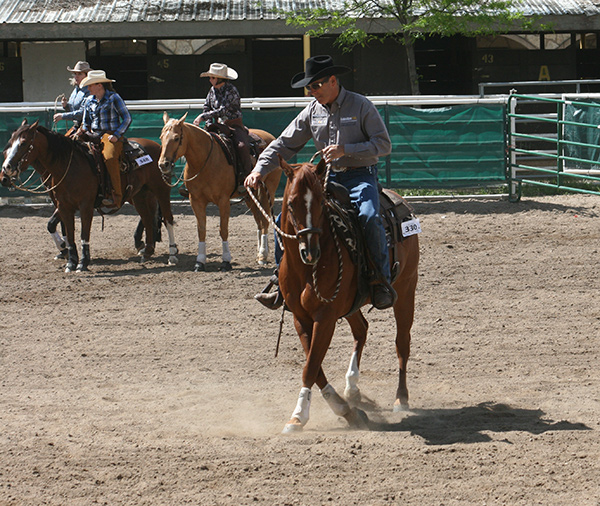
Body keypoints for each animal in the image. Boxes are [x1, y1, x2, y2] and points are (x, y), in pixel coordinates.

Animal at [0, 119, 178, 272]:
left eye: (23, 143)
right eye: (8, 145)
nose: (5, 173)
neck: (69, 166)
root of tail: (157, 147)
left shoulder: (85, 205)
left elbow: (81, 233)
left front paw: (80, 261)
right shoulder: (62, 205)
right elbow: (62, 228)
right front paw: (68, 256)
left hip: (161, 190)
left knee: (167, 218)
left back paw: (172, 254)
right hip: (139, 194)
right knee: (147, 218)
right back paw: (147, 250)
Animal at [158, 112, 282, 270]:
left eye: (176, 138)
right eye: (161, 137)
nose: (163, 164)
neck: (206, 160)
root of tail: (270, 137)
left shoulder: (223, 201)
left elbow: (223, 230)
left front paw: (226, 261)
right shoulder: (196, 200)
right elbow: (201, 230)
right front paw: (200, 261)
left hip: (269, 190)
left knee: (265, 220)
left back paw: (262, 255)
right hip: (250, 195)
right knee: (259, 221)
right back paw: (259, 253)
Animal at [276, 159, 420, 434]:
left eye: (320, 202)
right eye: (291, 204)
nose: (310, 252)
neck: (306, 270)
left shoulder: (325, 317)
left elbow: (311, 367)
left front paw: (298, 416)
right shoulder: (300, 317)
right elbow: (314, 366)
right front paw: (348, 411)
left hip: (407, 288)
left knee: (402, 343)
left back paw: (401, 398)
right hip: (352, 304)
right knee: (362, 329)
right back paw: (352, 389)